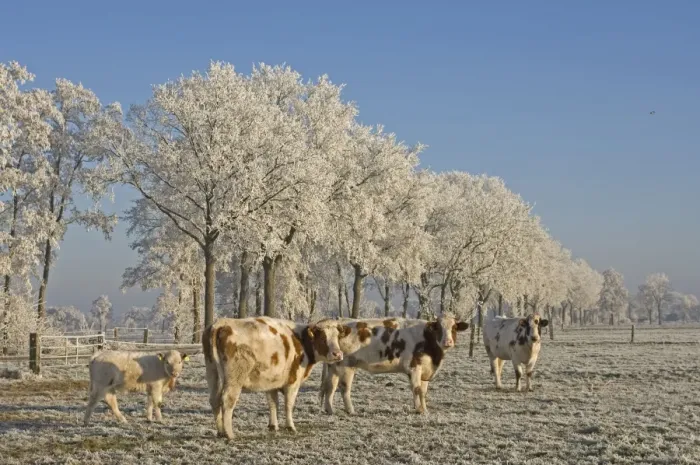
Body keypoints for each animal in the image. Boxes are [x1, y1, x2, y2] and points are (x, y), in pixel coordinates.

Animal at [202, 316, 351, 439]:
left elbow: (273, 403)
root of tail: (221, 323)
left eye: (337, 337)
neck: (300, 341)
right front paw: (290, 426)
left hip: (212, 373)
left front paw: (273, 426)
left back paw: (221, 431)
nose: (337, 354)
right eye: (322, 337)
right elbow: (288, 404)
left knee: (214, 400)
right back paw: (229, 434)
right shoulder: (293, 382)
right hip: (234, 379)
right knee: (227, 401)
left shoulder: (271, 382)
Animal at [319, 315, 469, 415]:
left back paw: (330, 410)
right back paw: (350, 410)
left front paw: (425, 410)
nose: (447, 342)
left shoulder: (425, 370)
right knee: (344, 388)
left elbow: (423, 391)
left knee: (330, 387)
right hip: (346, 365)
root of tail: (340, 323)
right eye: (438, 328)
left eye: (454, 327)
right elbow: (417, 389)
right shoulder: (414, 367)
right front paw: (419, 410)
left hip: (334, 366)